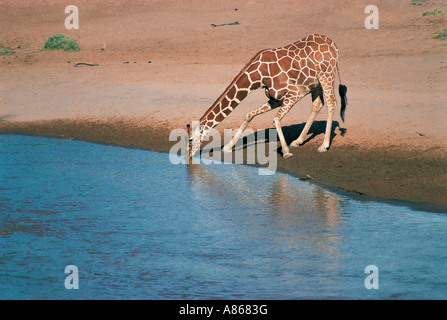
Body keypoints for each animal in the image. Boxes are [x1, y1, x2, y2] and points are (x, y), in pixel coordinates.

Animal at [187, 33, 348, 160]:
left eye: (190, 139)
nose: (188, 157)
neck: (258, 76)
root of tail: (334, 45)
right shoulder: (275, 99)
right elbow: (249, 114)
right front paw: (227, 147)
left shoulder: (293, 93)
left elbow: (275, 119)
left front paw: (285, 152)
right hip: (315, 84)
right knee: (318, 104)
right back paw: (297, 141)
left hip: (326, 75)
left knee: (331, 102)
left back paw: (323, 145)